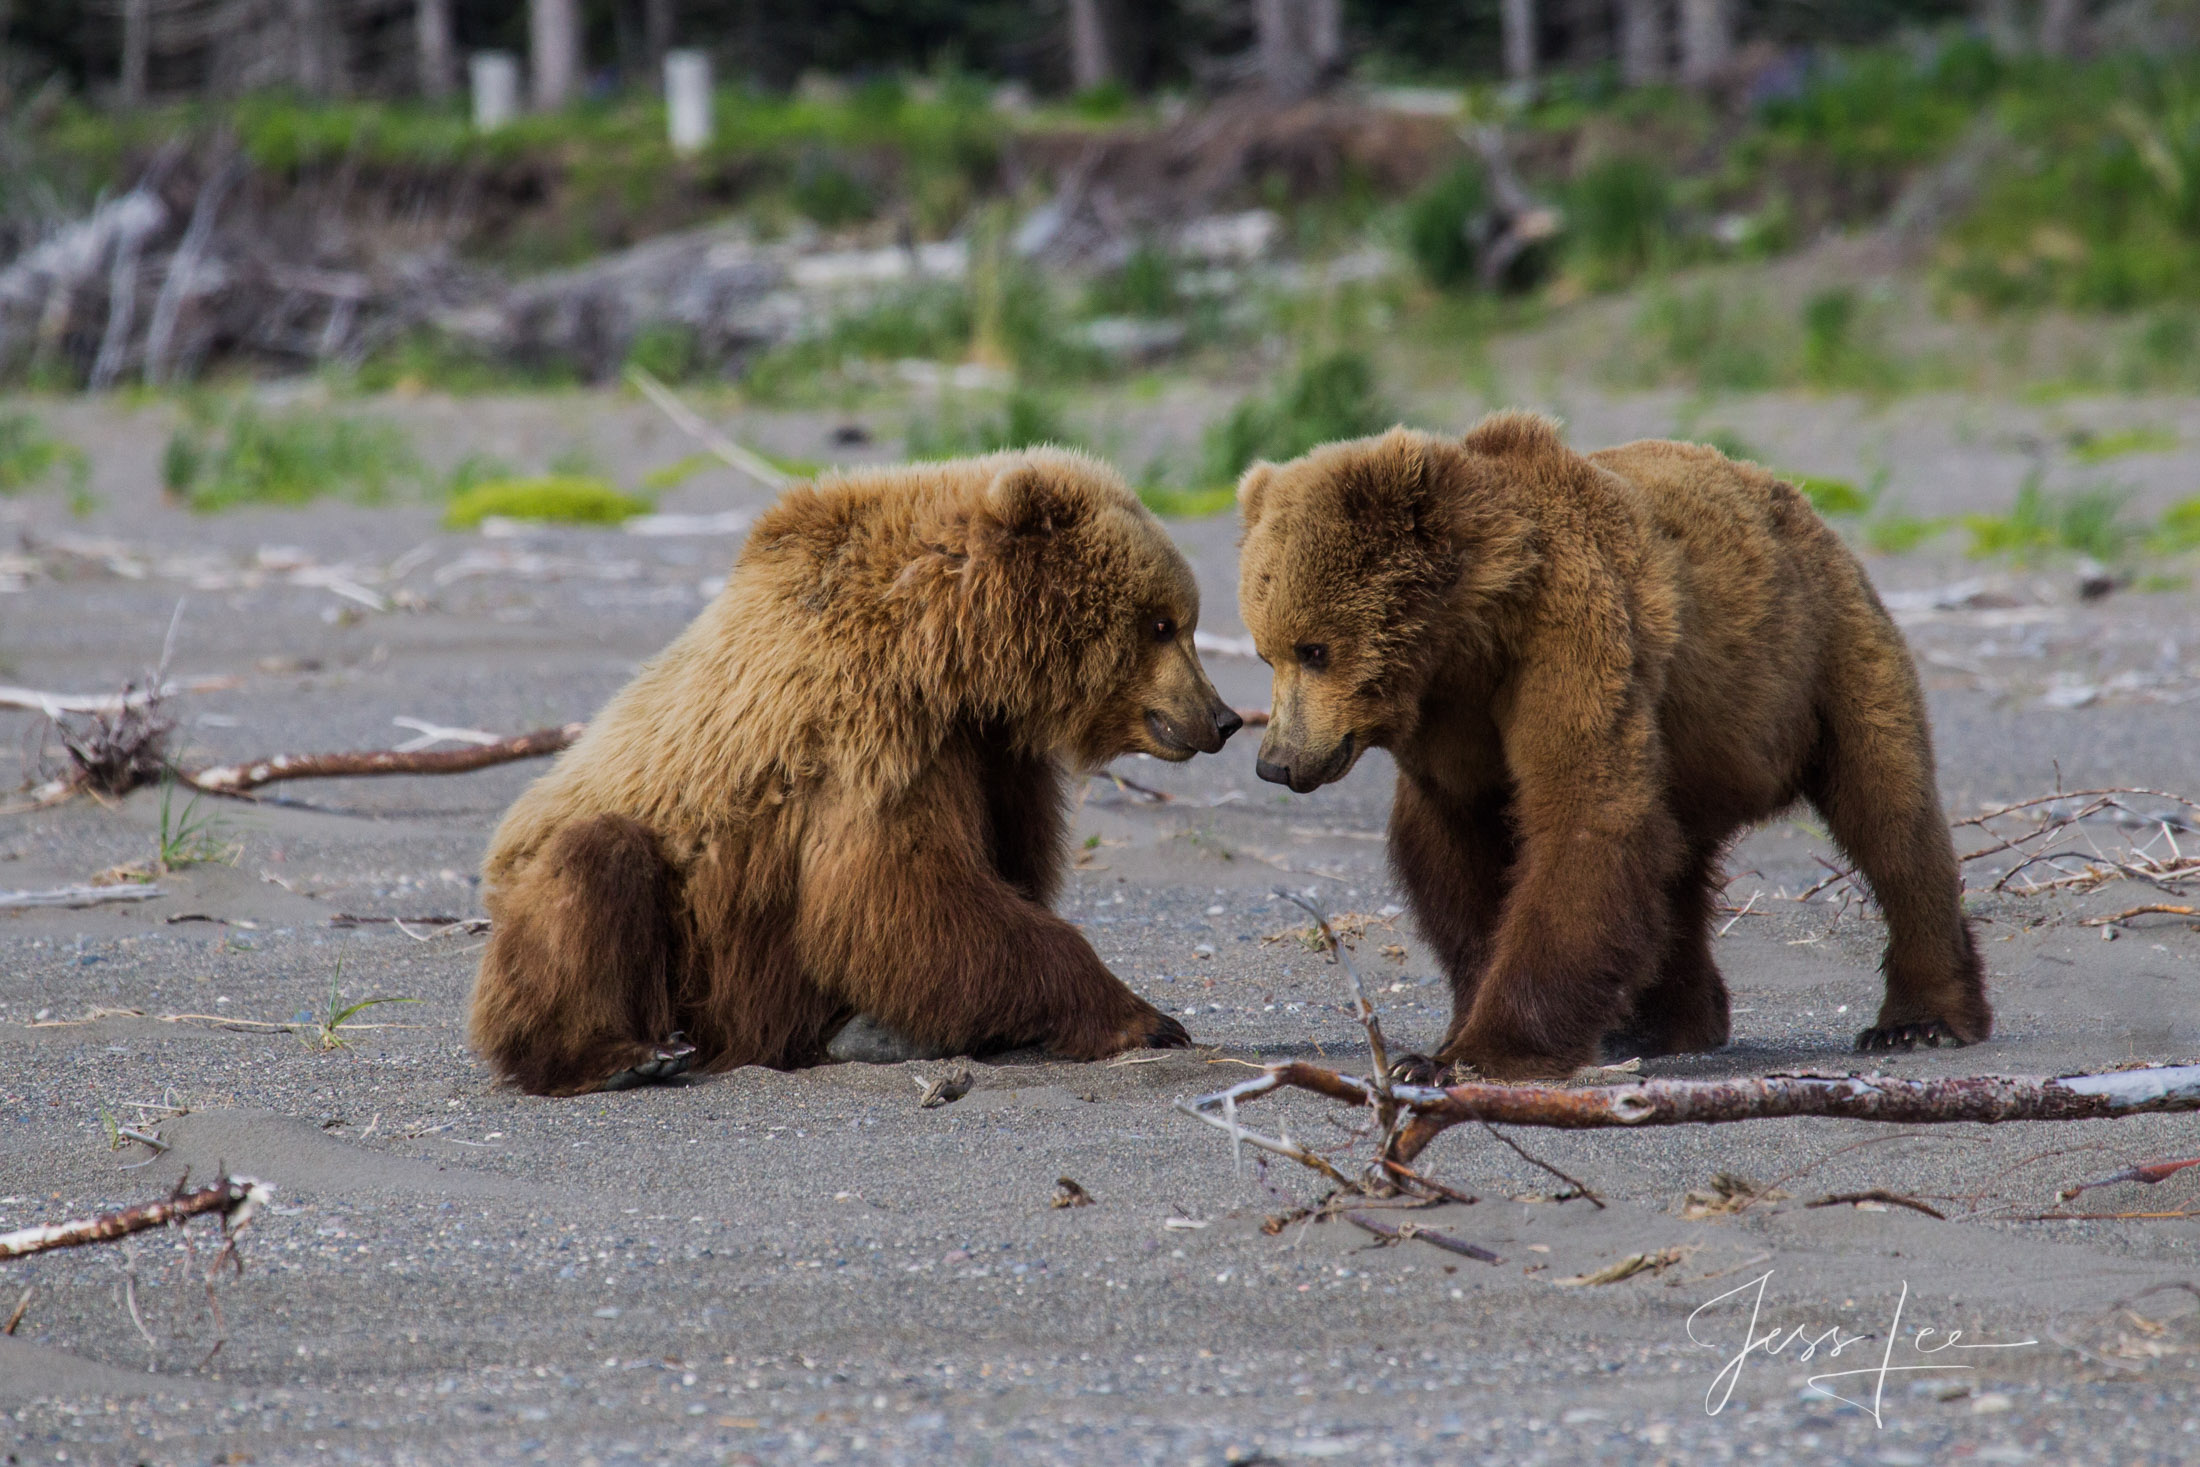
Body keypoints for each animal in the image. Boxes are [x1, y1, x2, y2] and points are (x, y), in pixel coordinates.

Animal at [473, 453, 1249, 1095]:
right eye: (1162, 624)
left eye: (1183, 619)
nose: (1222, 717)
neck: (953, 651)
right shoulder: (873, 725)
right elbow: (894, 894)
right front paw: (1142, 1015)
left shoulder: (990, 750)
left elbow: (998, 869)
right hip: (657, 936)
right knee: (595, 869)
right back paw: (622, 1054)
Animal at [1240, 413, 1997, 1077]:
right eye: (1264, 651)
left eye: (1314, 649)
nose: (1275, 761)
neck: (1469, 641)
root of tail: (1800, 501)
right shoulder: (1449, 734)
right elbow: (1457, 858)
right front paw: (1453, 1032)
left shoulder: (1571, 637)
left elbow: (1586, 816)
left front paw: (1465, 1055)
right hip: (1701, 743)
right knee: (1675, 867)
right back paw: (1669, 1021)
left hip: (1825, 657)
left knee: (1888, 812)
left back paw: (1921, 1017)